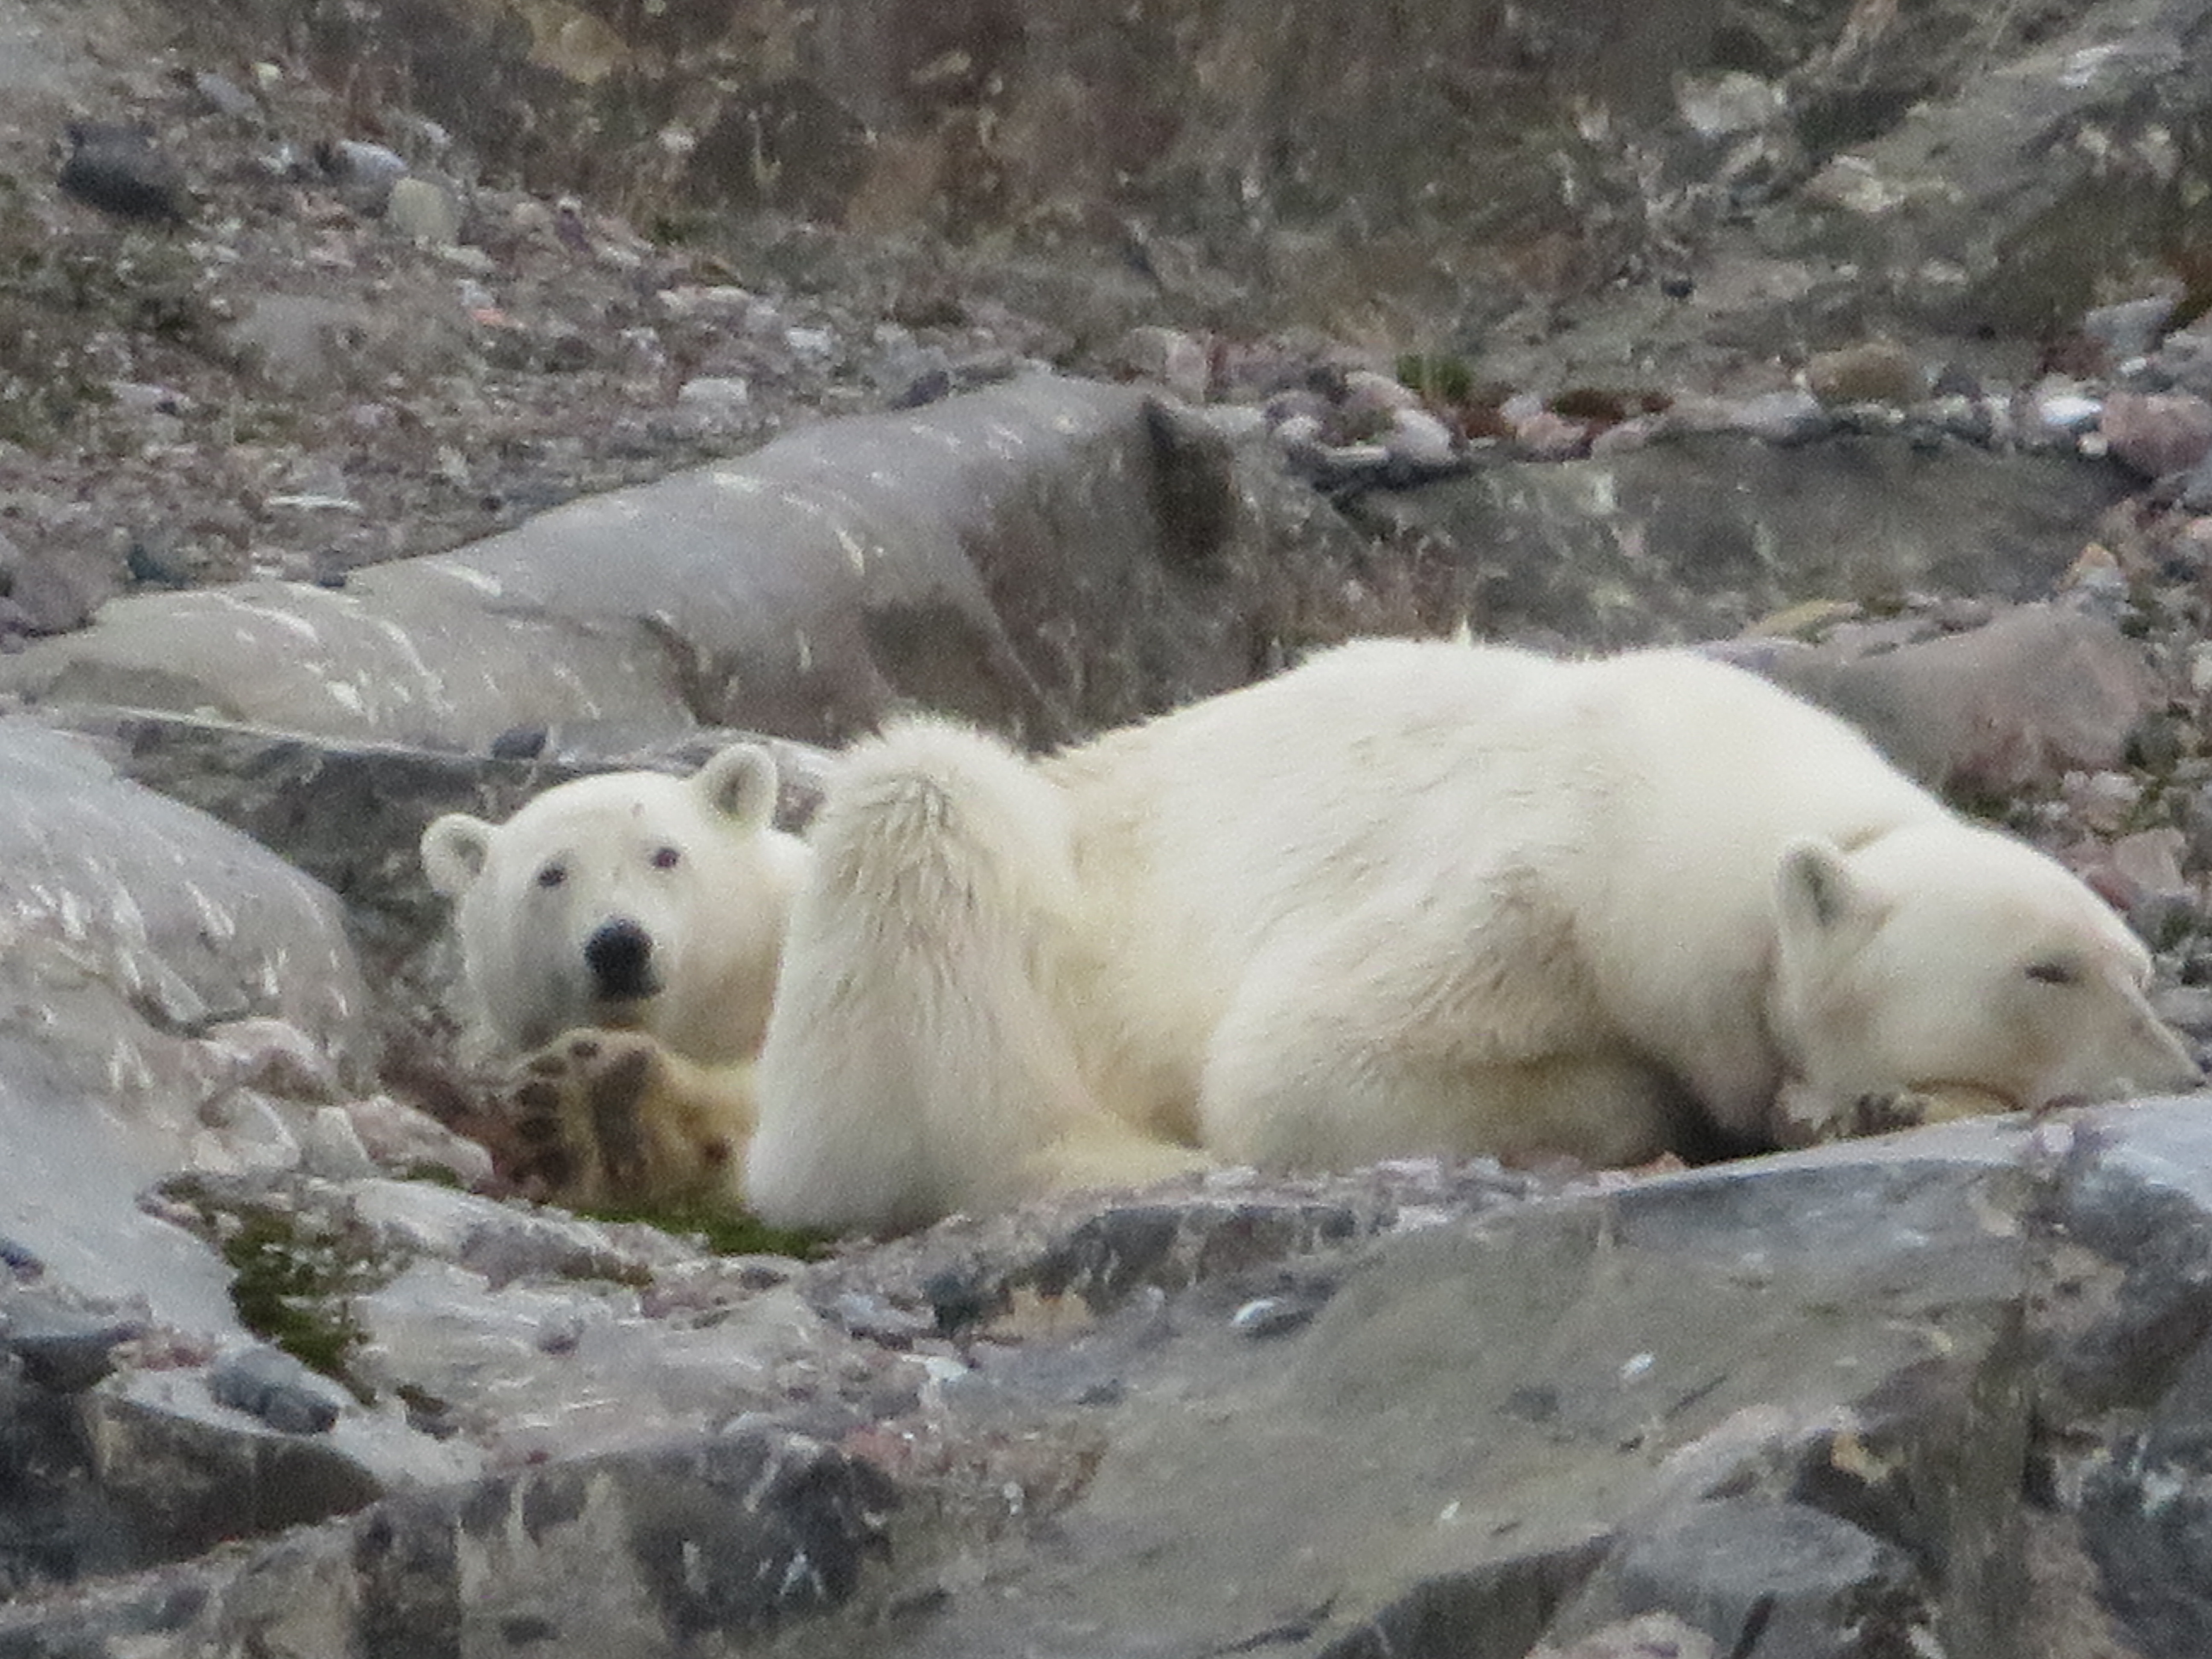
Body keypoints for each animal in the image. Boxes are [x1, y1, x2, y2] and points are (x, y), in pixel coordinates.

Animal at [752, 637, 2203, 1239]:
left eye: (2137, 969)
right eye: (2048, 969)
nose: (2176, 1071)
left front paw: (1856, 1100)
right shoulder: (1537, 893)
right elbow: (1295, 1065)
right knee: (923, 801)